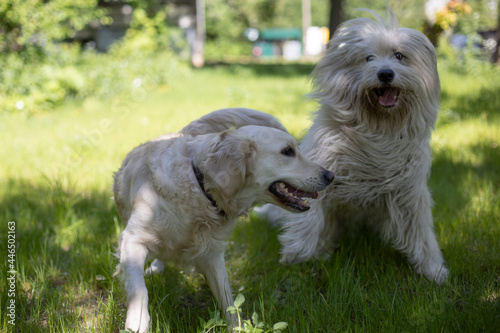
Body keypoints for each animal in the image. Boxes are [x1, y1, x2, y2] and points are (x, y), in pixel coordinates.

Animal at [112, 118, 332, 330]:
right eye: (288, 151)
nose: (330, 175)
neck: (200, 188)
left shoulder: (212, 255)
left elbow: (228, 301)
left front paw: (236, 328)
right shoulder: (132, 240)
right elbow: (140, 291)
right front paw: (137, 323)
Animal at [260, 9, 448, 282]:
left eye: (399, 55)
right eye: (368, 58)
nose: (385, 74)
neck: (377, 128)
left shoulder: (409, 193)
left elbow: (420, 232)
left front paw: (433, 269)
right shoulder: (321, 176)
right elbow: (310, 221)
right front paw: (297, 256)